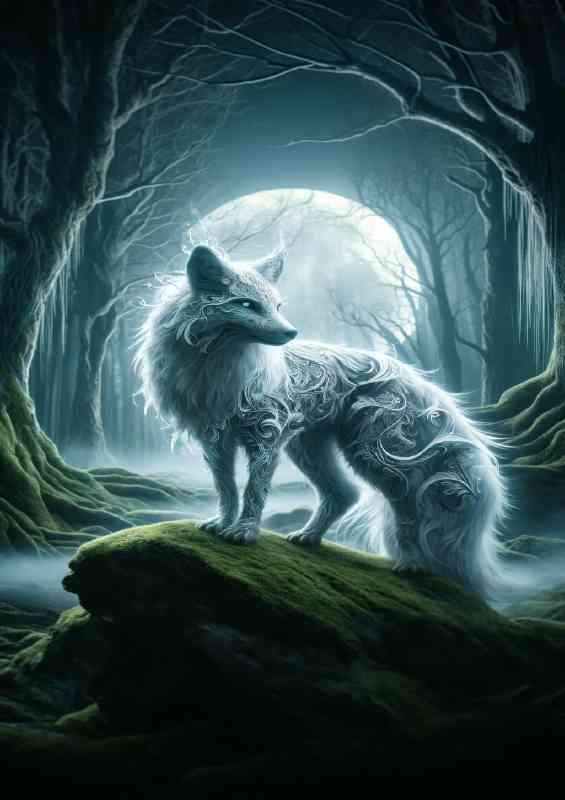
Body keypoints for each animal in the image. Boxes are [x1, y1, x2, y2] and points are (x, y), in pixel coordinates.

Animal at [135, 244, 507, 597]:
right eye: (247, 304)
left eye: (277, 306)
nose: (291, 332)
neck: (218, 369)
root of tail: (409, 375)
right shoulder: (215, 441)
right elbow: (226, 488)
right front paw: (222, 523)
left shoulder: (265, 438)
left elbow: (255, 491)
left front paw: (244, 532)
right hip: (309, 450)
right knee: (344, 494)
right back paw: (309, 537)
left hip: (370, 457)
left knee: (405, 504)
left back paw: (411, 563)